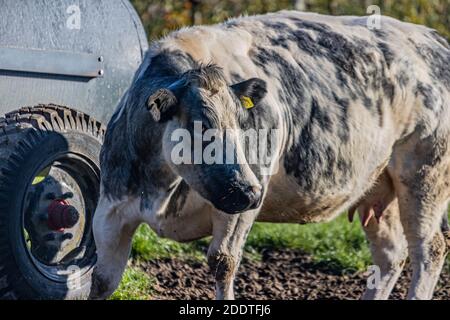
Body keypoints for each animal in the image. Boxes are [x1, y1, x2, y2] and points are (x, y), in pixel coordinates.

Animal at [89, 10, 450, 300]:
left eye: (243, 123)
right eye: (198, 126)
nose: (248, 191)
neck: (161, 187)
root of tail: (433, 39)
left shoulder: (240, 208)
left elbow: (223, 262)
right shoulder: (111, 209)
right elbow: (102, 279)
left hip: (425, 174)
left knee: (429, 249)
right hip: (379, 188)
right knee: (391, 254)